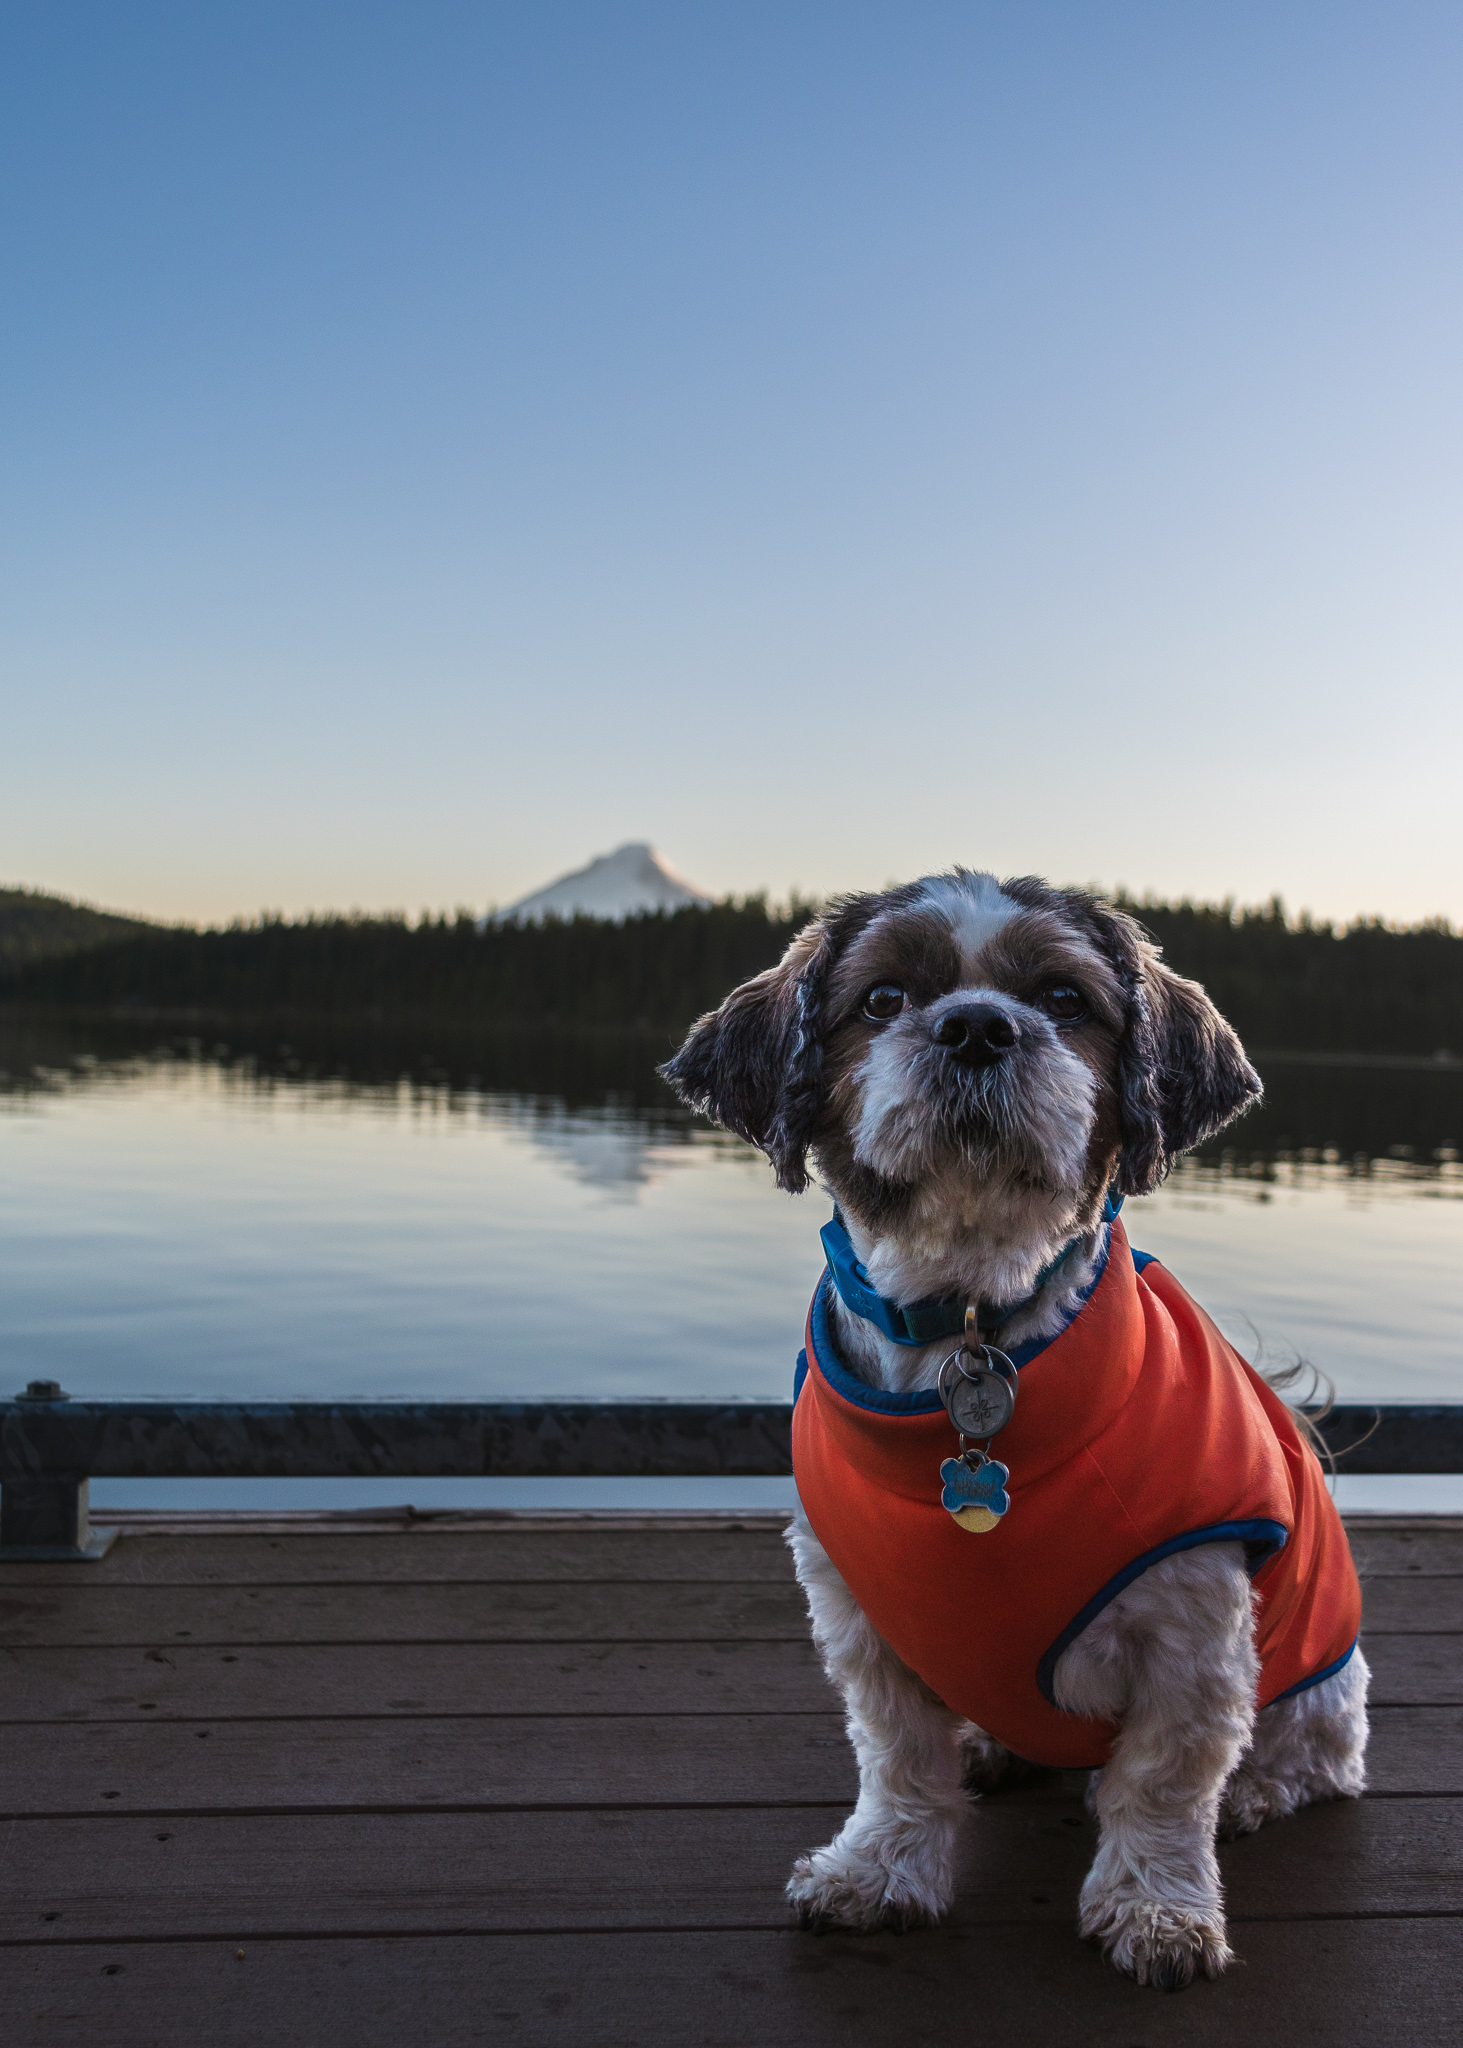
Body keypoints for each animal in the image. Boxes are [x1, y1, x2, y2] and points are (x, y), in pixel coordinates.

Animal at [663, 872, 1368, 1990]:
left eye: (1063, 998)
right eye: (882, 999)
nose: (977, 1026)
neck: (970, 1322)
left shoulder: (1190, 1629)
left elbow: (1162, 1778)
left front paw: (1156, 1906)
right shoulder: (860, 1616)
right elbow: (898, 1756)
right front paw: (878, 1870)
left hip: (1321, 1683)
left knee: (1312, 1756)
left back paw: (1257, 1790)